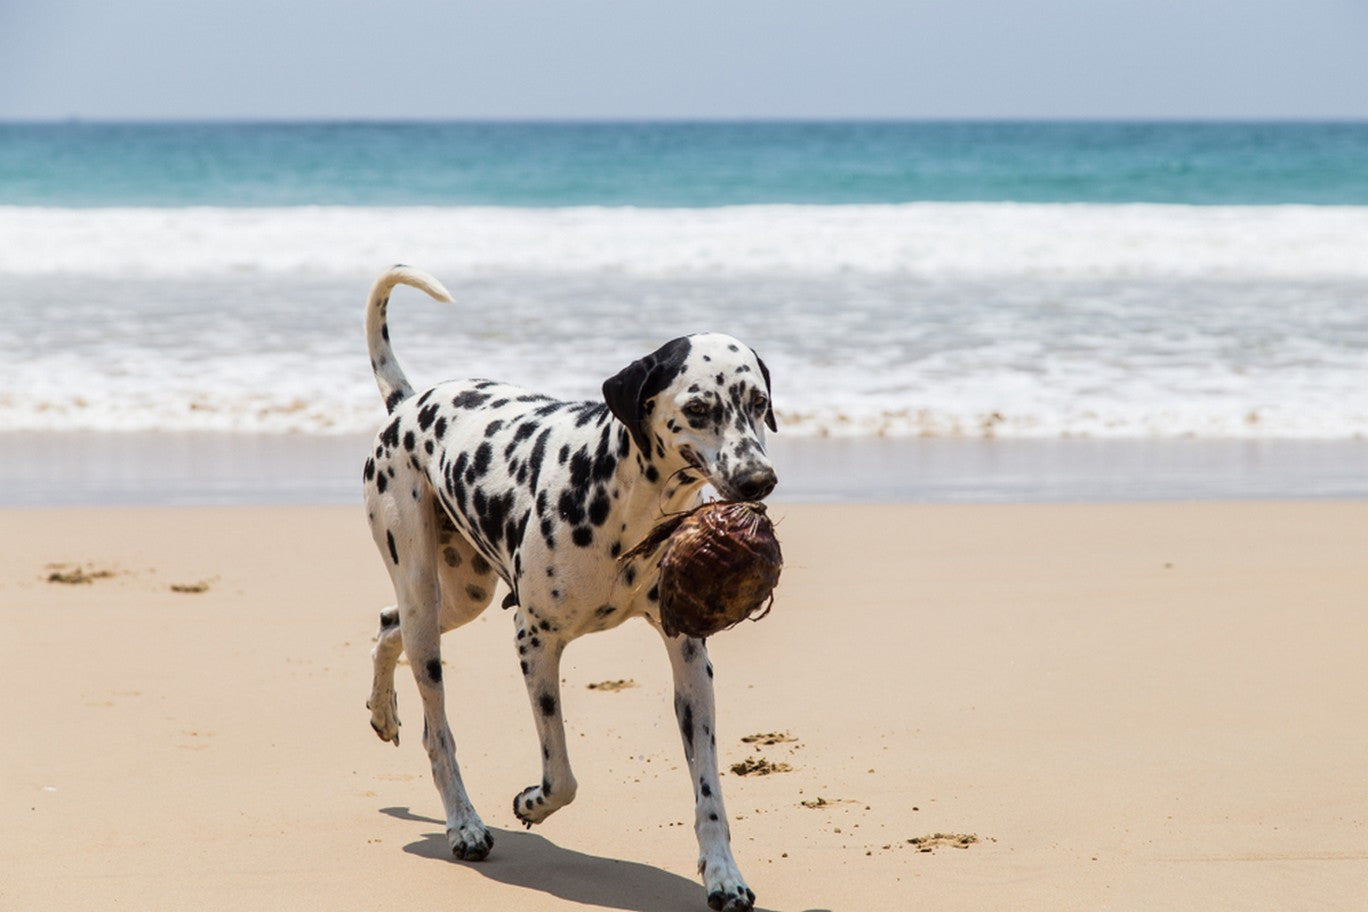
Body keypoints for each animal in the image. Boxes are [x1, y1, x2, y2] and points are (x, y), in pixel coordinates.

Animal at [361, 265, 782, 912]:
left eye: (759, 403)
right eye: (699, 407)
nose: (761, 479)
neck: (627, 501)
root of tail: (407, 403)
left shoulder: (690, 660)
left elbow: (710, 790)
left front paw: (723, 875)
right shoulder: (534, 640)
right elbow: (561, 775)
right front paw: (531, 803)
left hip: (461, 594)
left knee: (388, 625)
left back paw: (383, 712)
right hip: (423, 596)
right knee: (437, 729)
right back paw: (464, 824)